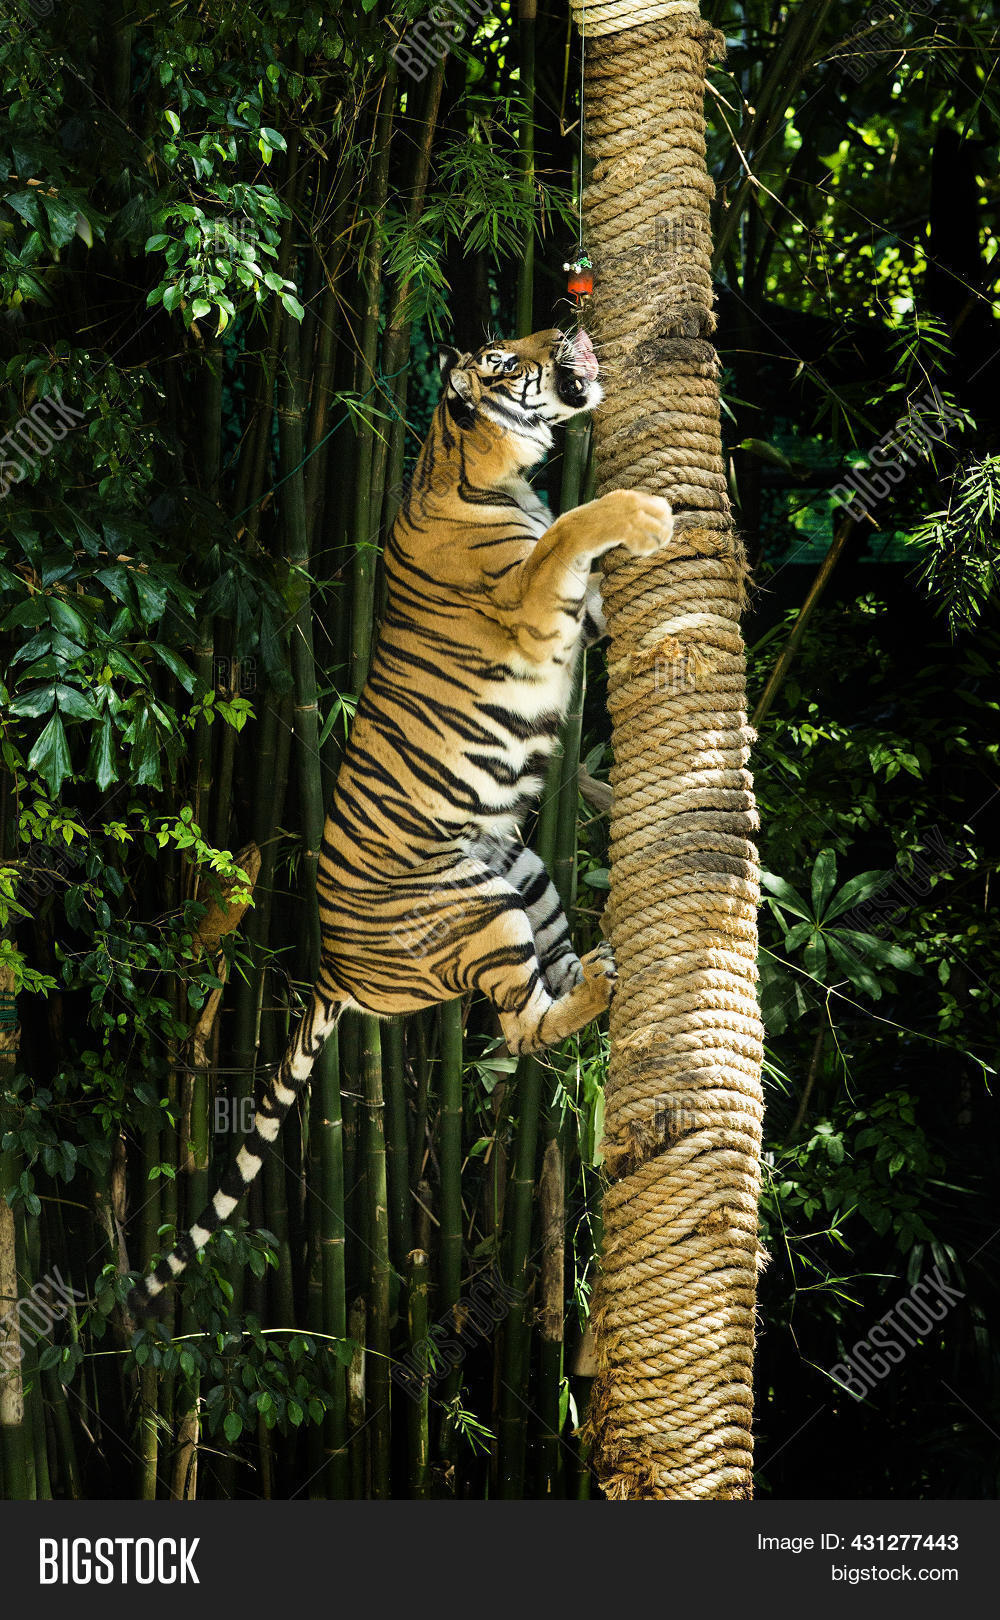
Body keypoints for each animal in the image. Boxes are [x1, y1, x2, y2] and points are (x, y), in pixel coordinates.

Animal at [131, 327, 674, 1312]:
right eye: (508, 359)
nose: (564, 328)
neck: (478, 466)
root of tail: (333, 970)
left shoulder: (574, 609)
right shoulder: (533, 603)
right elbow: (576, 525)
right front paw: (644, 512)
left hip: (521, 873)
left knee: (548, 989)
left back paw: (605, 963)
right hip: (478, 911)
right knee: (521, 1028)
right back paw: (603, 984)